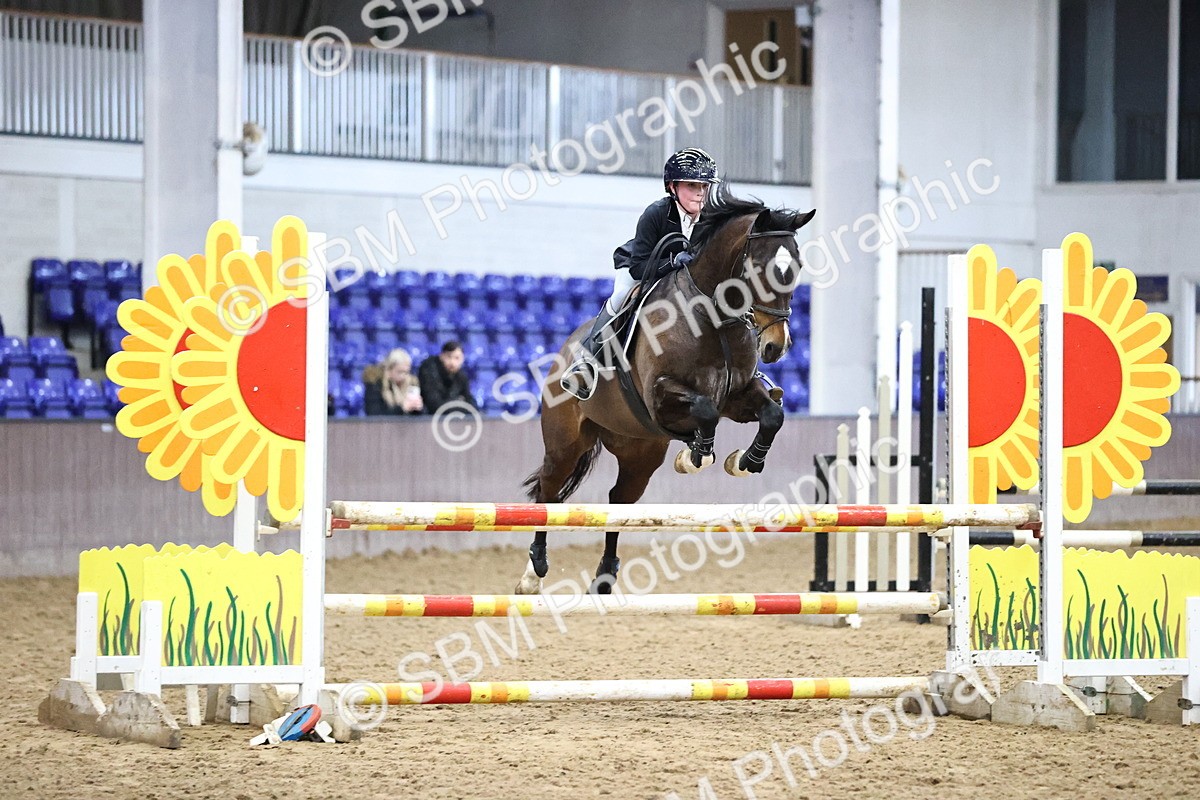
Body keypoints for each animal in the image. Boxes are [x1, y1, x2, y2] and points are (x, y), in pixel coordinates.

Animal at [515, 187, 816, 595]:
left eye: (796, 267)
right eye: (758, 268)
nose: (775, 347)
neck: (713, 315)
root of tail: (563, 351)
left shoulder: (737, 397)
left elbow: (772, 414)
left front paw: (744, 461)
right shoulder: (661, 397)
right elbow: (704, 411)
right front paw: (696, 455)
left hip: (639, 452)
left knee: (619, 502)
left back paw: (605, 577)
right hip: (566, 442)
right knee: (549, 491)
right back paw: (533, 573)